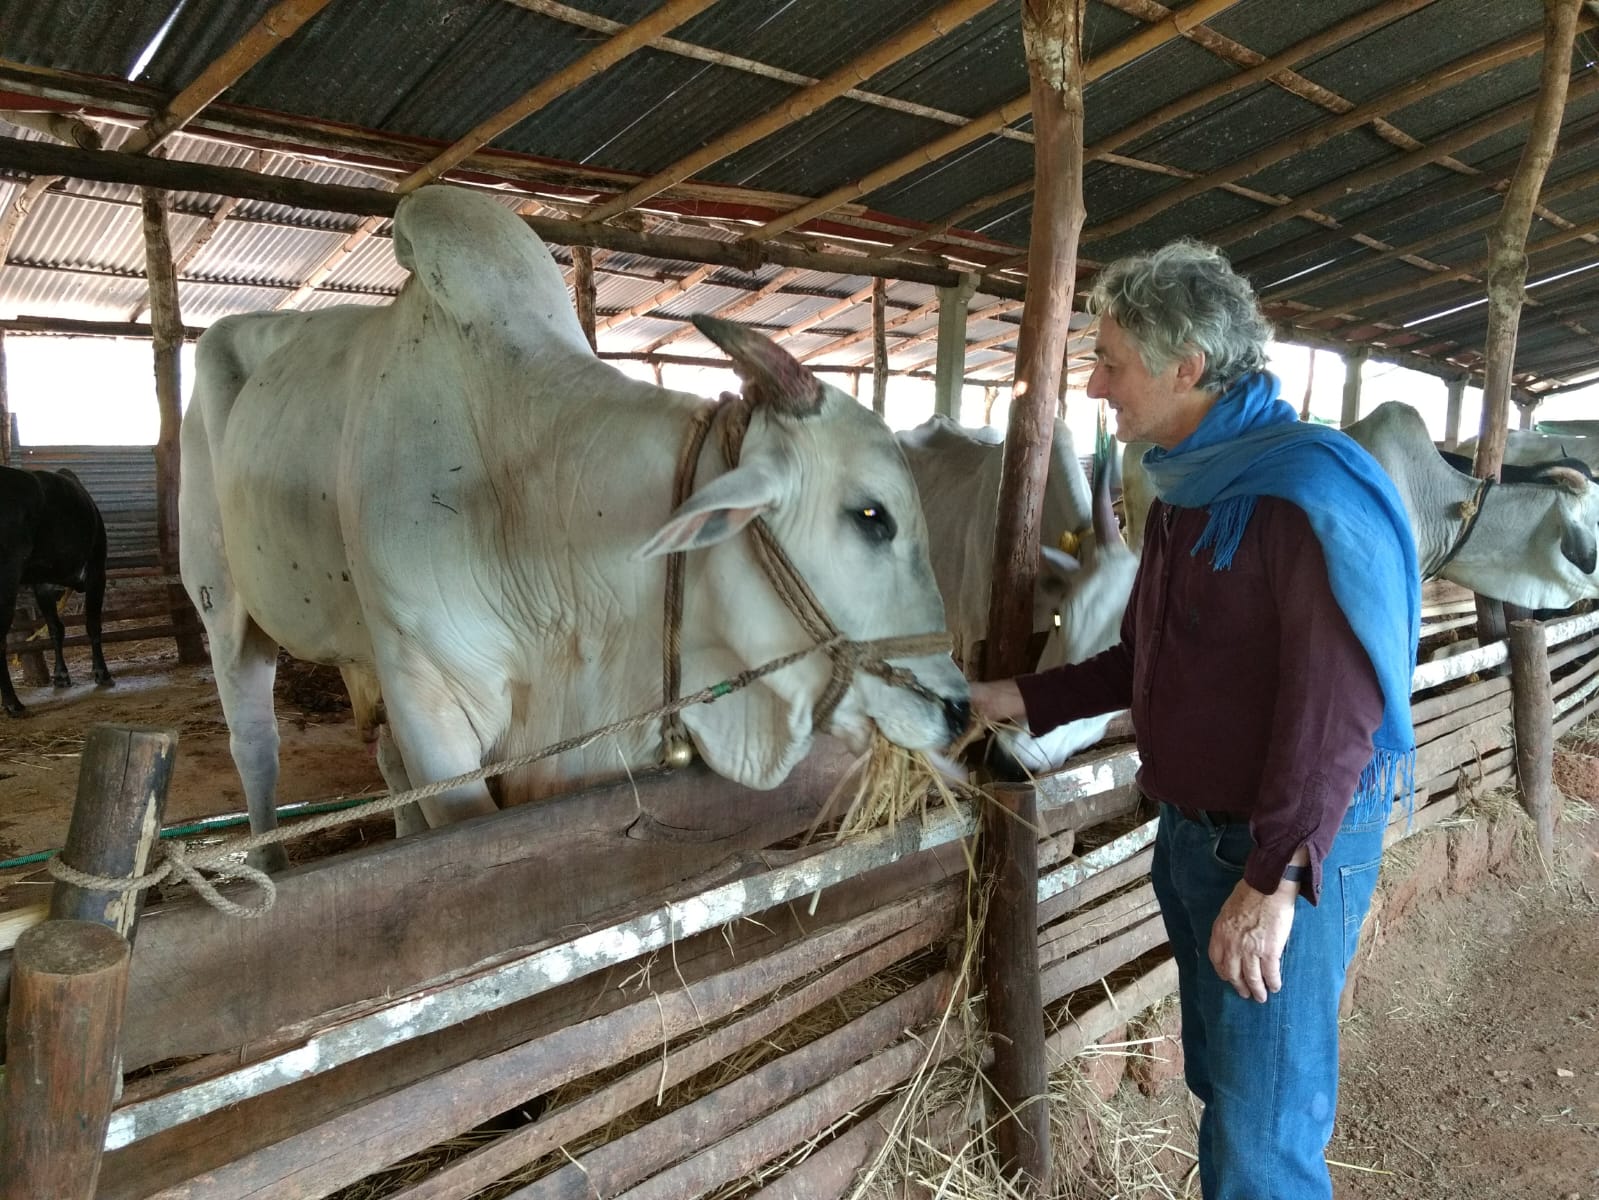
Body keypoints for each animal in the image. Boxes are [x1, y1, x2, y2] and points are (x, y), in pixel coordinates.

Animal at [1, 465, 114, 716]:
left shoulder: (43, 585)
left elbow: (55, 629)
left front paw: (61, 675)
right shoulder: (96, 571)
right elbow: (93, 625)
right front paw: (102, 673)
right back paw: (14, 704)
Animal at [179, 185, 969, 870]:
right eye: (870, 516)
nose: (958, 710)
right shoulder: (431, 706)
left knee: (381, 756)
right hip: (225, 610)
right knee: (256, 744)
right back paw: (270, 861)